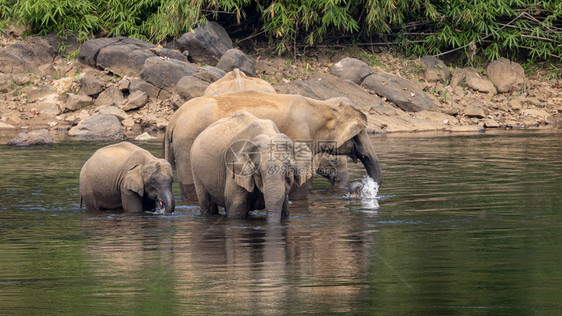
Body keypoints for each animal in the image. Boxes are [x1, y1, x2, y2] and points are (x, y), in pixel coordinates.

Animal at [163, 90, 380, 199]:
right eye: (359, 133)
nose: (360, 187)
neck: (320, 105)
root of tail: (173, 120)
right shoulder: (299, 134)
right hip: (186, 144)